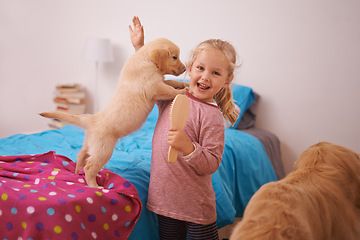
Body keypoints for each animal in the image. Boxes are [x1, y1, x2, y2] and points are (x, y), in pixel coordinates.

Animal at [40, 38, 188, 188]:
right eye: (174, 57)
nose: (185, 69)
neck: (146, 59)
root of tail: (92, 119)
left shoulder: (159, 81)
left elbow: (170, 81)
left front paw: (183, 84)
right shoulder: (155, 87)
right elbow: (170, 90)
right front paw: (183, 91)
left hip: (90, 144)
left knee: (80, 155)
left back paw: (76, 172)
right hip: (104, 150)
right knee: (90, 167)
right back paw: (94, 186)